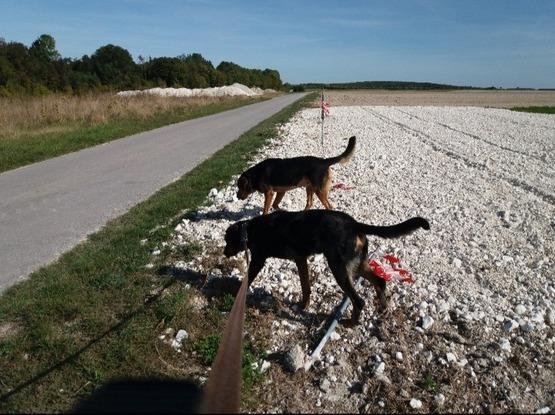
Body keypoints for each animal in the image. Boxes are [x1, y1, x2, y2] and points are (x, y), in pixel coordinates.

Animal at [223, 211, 430, 324]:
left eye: (227, 240)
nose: (224, 253)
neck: (250, 230)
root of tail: (354, 224)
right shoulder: (300, 259)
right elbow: (306, 287)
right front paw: (303, 305)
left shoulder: (258, 260)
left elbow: (247, 278)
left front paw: (235, 292)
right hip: (358, 264)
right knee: (380, 282)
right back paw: (383, 309)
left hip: (339, 268)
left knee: (359, 301)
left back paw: (351, 323)